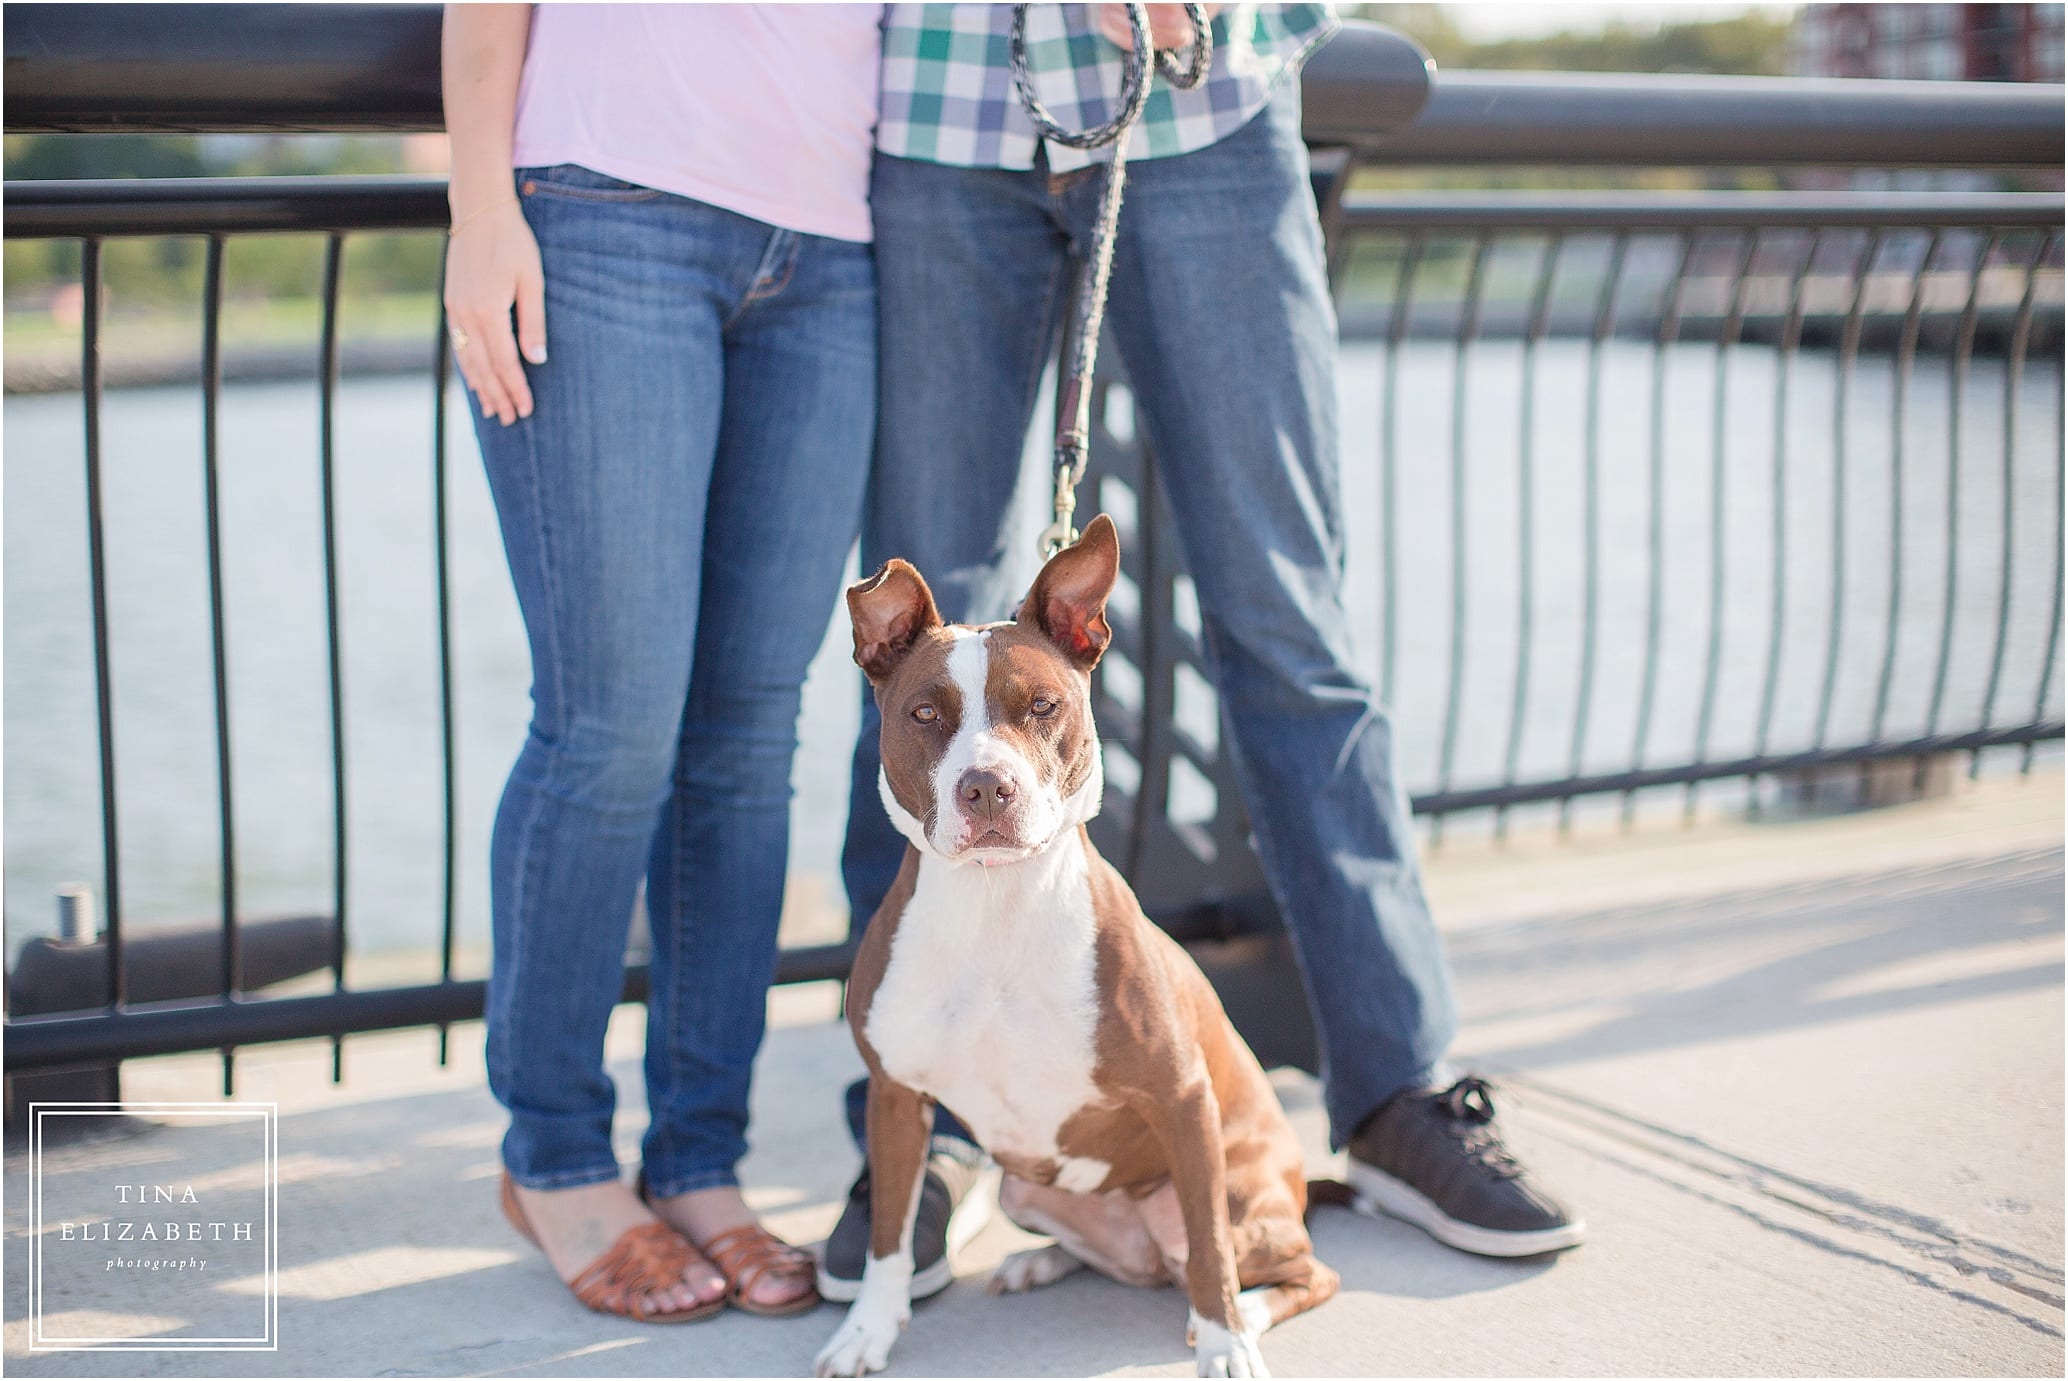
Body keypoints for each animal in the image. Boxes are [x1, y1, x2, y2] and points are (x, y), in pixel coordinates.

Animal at [814, 516, 1331, 1380]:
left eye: (1043, 704)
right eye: (924, 713)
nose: (987, 785)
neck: (994, 904)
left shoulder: (1182, 1095)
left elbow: (1210, 1251)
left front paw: (1225, 1341)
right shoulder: (895, 1095)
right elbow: (888, 1237)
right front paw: (866, 1329)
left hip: (1246, 1194)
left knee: (1282, 1264)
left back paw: (1245, 1313)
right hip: (1025, 1190)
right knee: (1133, 1256)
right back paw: (1041, 1261)